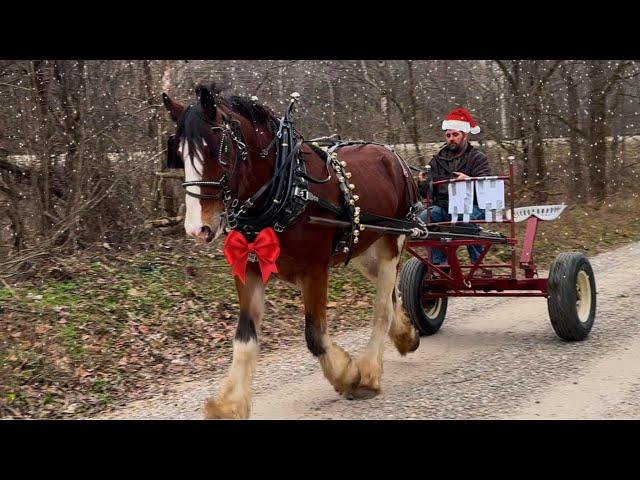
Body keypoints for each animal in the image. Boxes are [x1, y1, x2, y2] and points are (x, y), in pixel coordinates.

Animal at [161, 84, 420, 418]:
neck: (286, 190)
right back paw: (405, 335)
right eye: (179, 154)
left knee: (382, 307)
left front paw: (348, 376)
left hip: (392, 241)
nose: (197, 228)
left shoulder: (315, 270)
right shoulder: (249, 267)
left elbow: (315, 335)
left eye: (219, 151)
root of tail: (391, 154)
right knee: (391, 293)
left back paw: (369, 372)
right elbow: (244, 339)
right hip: (365, 251)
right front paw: (228, 404)